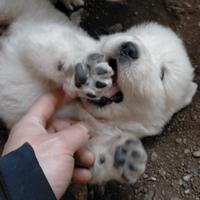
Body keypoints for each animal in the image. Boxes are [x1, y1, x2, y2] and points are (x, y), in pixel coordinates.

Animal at [0, 0, 197, 184]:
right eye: (139, 36)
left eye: (163, 74)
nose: (129, 48)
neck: (82, 107)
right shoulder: (38, 35)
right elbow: (57, 46)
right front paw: (86, 73)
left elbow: (87, 160)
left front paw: (123, 156)